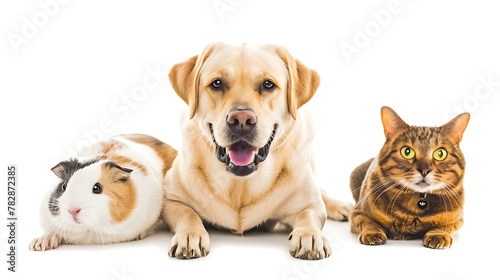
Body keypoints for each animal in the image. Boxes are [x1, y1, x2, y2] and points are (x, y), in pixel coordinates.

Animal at [162, 42, 350, 260]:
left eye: (268, 84)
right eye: (217, 83)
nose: (241, 120)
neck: (240, 186)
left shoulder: (311, 204)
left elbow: (308, 215)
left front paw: (309, 236)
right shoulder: (170, 199)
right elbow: (187, 213)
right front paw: (190, 234)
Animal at [350, 106, 470, 248]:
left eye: (440, 153)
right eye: (407, 151)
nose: (424, 170)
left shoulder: (457, 218)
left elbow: (445, 226)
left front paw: (438, 234)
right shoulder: (357, 213)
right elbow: (369, 223)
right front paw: (372, 233)